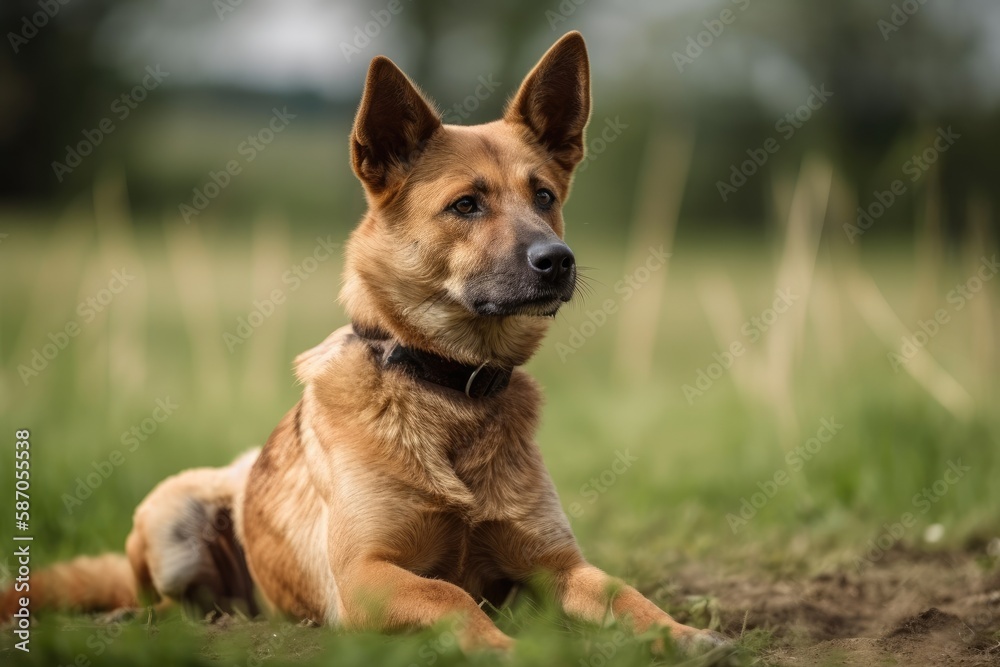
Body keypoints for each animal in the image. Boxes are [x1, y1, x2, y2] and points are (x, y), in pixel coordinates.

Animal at [5, 32, 728, 656]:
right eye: (467, 205)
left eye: (545, 196)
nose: (559, 261)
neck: (451, 388)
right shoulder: (365, 575)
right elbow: (449, 595)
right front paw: (502, 646)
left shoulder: (557, 564)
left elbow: (623, 593)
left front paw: (684, 633)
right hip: (171, 510)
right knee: (161, 602)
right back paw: (141, 617)